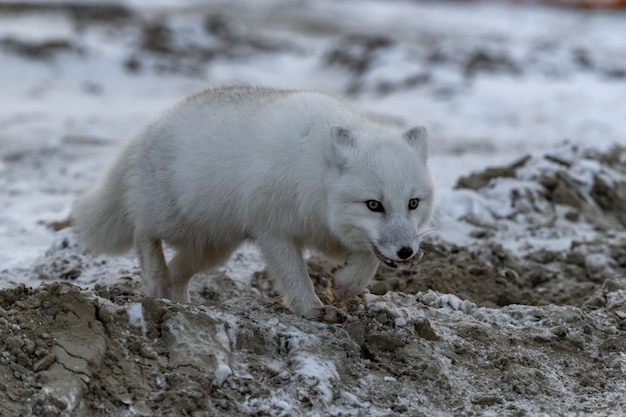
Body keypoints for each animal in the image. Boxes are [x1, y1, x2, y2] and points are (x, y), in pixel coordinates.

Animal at [73, 86, 432, 322]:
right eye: (374, 205)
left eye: (413, 203)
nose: (406, 253)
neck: (312, 175)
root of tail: (152, 126)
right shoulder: (273, 230)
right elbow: (295, 277)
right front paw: (314, 309)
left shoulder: (332, 232)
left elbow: (367, 260)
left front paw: (344, 287)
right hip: (176, 221)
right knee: (142, 230)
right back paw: (155, 278)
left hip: (215, 246)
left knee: (179, 271)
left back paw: (183, 306)